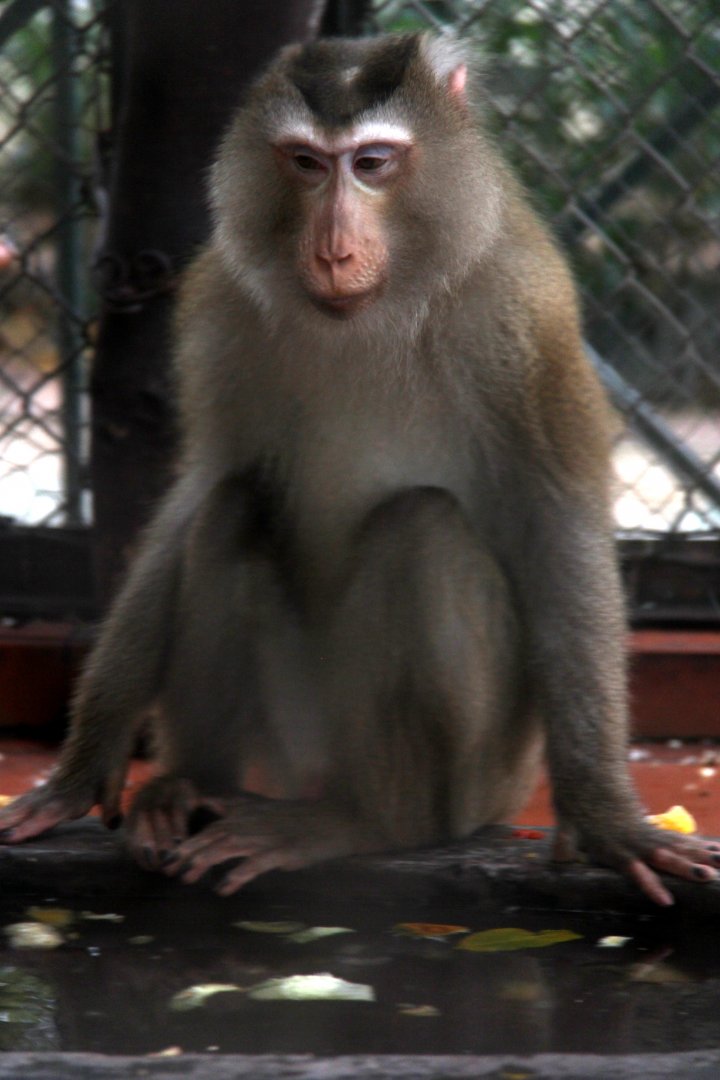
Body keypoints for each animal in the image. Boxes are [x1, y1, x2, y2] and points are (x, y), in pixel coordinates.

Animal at [1, 33, 718, 906]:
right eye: (308, 164)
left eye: (373, 163)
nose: (334, 245)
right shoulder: (220, 302)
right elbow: (200, 486)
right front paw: (80, 770)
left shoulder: (526, 312)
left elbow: (559, 526)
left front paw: (609, 821)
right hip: (293, 736)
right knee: (233, 505)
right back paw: (190, 788)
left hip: (484, 777)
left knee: (422, 530)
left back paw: (372, 824)